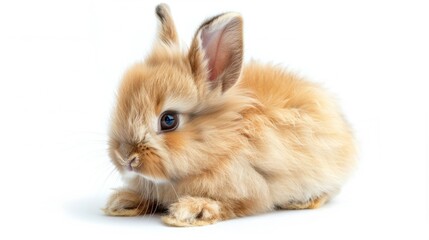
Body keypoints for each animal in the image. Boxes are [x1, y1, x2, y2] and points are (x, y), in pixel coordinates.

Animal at [103, 3, 354, 227]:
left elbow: (233, 205)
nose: (126, 158)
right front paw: (123, 202)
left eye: (169, 120)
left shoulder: (251, 188)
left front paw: (192, 211)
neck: (224, 141)